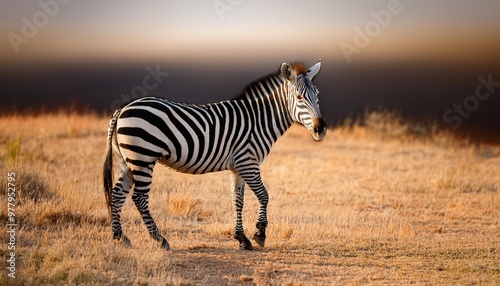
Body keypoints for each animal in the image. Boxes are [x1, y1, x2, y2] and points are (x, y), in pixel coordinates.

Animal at [103, 60, 326, 250]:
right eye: (299, 98)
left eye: (317, 95)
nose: (321, 130)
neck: (259, 120)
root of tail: (122, 109)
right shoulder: (248, 162)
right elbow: (264, 195)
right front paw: (260, 234)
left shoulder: (237, 167)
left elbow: (237, 201)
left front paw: (242, 239)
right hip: (143, 158)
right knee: (139, 198)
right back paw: (160, 239)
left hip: (128, 161)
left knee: (117, 194)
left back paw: (119, 237)